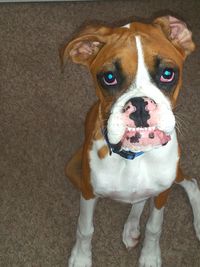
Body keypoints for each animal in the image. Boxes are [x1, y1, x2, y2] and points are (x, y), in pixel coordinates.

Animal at [61, 15, 199, 267]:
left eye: (167, 73)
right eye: (109, 78)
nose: (140, 105)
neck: (135, 157)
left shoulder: (162, 194)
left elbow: (154, 226)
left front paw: (150, 256)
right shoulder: (88, 192)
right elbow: (85, 229)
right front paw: (82, 257)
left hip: (174, 175)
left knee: (190, 184)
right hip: (73, 169)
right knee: (139, 200)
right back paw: (131, 227)